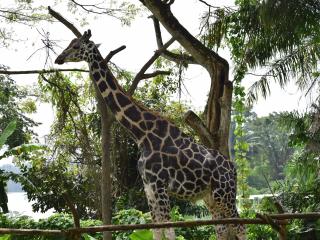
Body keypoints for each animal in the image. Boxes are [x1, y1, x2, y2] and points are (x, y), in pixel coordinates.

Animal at [55, 30, 246, 240]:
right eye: (70, 44)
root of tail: (233, 168)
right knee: (222, 228)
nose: (59, 58)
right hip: (209, 197)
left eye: (76, 46)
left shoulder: (159, 183)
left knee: (239, 225)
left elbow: (169, 229)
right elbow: (156, 229)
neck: (142, 134)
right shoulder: (148, 186)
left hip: (224, 192)